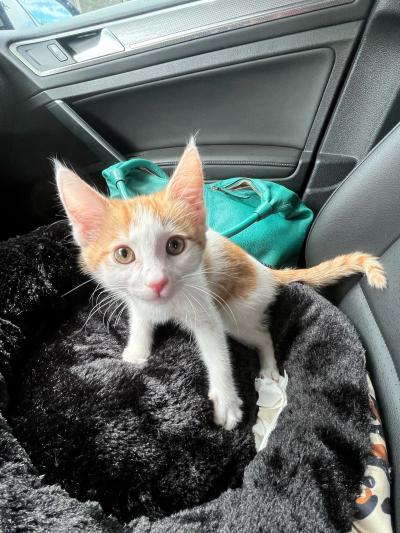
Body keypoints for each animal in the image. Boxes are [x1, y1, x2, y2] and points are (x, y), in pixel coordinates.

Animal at [54, 140, 386, 428]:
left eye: (175, 246)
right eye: (124, 254)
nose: (157, 282)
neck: (167, 304)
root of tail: (268, 272)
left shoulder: (206, 309)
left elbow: (217, 353)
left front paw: (227, 402)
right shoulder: (138, 301)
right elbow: (141, 320)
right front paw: (135, 353)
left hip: (236, 311)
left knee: (262, 335)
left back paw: (267, 366)